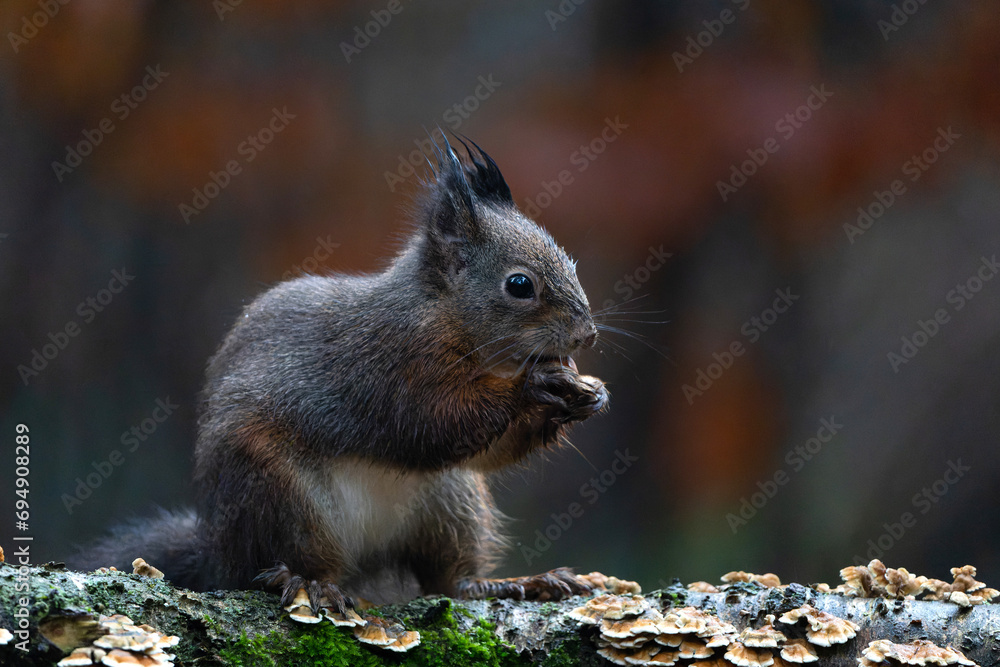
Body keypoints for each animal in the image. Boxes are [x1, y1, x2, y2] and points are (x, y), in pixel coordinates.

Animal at [72, 136, 610, 613]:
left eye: (571, 261)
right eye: (519, 285)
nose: (586, 336)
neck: (444, 316)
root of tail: (216, 554)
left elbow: (487, 452)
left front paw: (590, 395)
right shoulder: (385, 367)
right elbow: (432, 423)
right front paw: (532, 388)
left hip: (449, 504)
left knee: (449, 580)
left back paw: (511, 584)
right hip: (280, 493)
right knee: (288, 562)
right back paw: (307, 581)